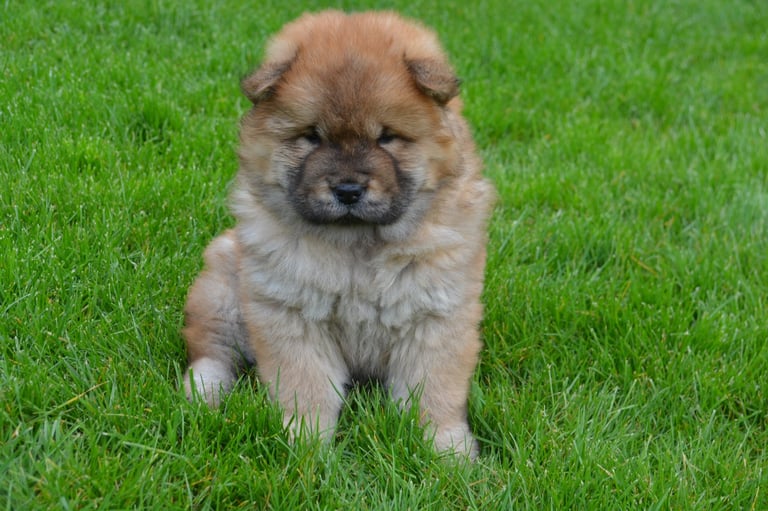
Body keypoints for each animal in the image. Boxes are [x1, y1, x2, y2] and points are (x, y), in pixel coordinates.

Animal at [181, 10, 496, 458]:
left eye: (387, 137)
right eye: (313, 136)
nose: (348, 190)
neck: (357, 245)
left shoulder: (436, 315)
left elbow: (434, 392)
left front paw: (447, 453)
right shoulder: (291, 312)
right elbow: (307, 386)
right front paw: (307, 445)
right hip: (223, 287)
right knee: (211, 353)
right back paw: (202, 395)